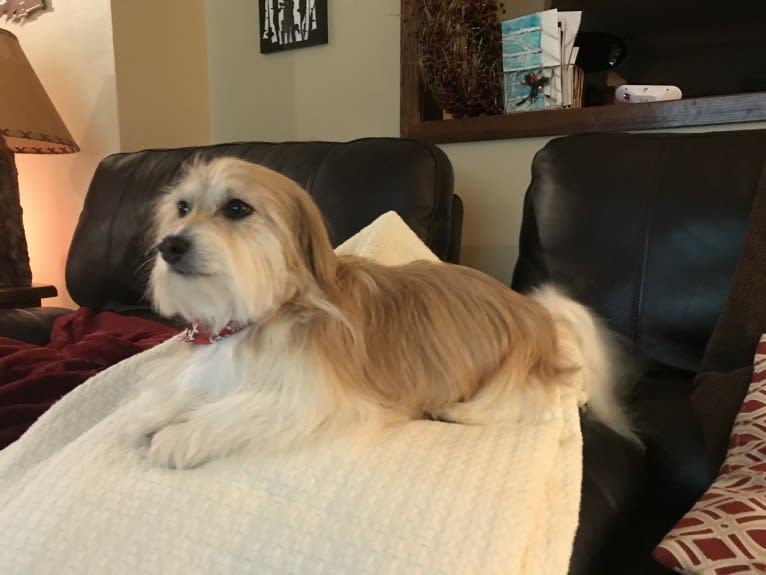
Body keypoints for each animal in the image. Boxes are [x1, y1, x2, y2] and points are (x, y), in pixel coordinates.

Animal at [129, 156, 640, 468]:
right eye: (182, 208)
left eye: (236, 208)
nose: (169, 246)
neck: (269, 313)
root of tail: (541, 316)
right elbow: (188, 391)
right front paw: (152, 413)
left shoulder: (317, 401)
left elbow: (237, 411)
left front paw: (177, 436)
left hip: (511, 378)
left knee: (547, 402)